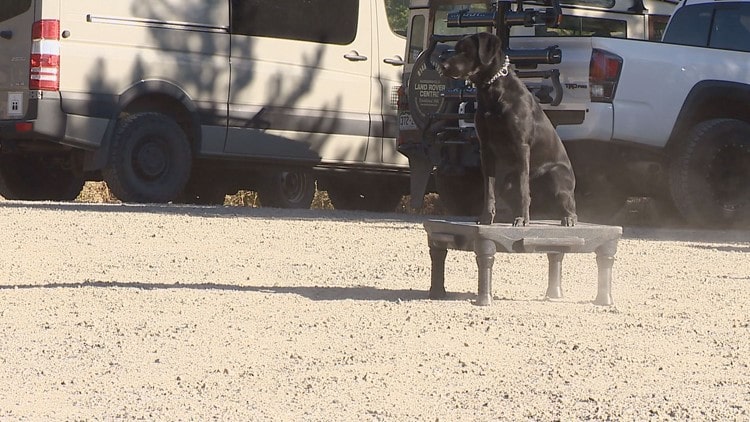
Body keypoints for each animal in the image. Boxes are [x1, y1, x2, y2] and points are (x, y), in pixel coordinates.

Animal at [444, 32, 580, 227]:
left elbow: (523, 189)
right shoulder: (486, 149)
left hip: (555, 176)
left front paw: (522, 219)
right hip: (508, 183)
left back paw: (567, 217)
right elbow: (489, 189)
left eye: (466, 51)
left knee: (568, 203)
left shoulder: (521, 145)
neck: (491, 91)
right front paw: (486, 216)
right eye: (455, 49)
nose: (443, 66)